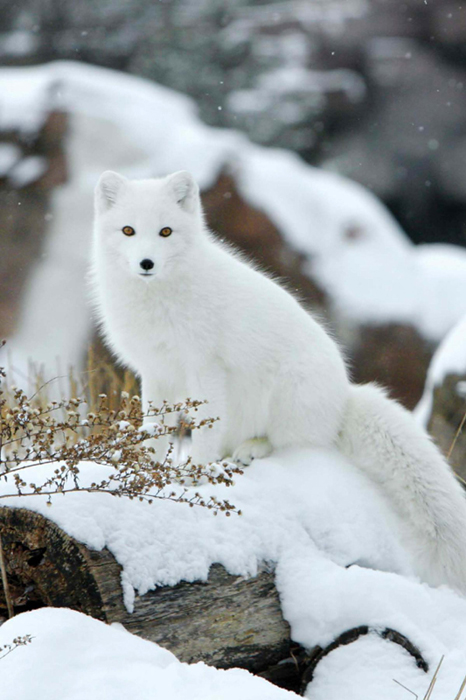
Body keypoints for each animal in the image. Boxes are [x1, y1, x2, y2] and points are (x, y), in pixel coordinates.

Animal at [92, 171, 466, 596]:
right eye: (128, 230)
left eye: (166, 231)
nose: (146, 262)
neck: (156, 300)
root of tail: (343, 400)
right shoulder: (156, 373)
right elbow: (154, 429)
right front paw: (145, 469)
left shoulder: (205, 368)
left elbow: (203, 431)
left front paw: (196, 475)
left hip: (285, 395)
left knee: (292, 444)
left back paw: (252, 449)